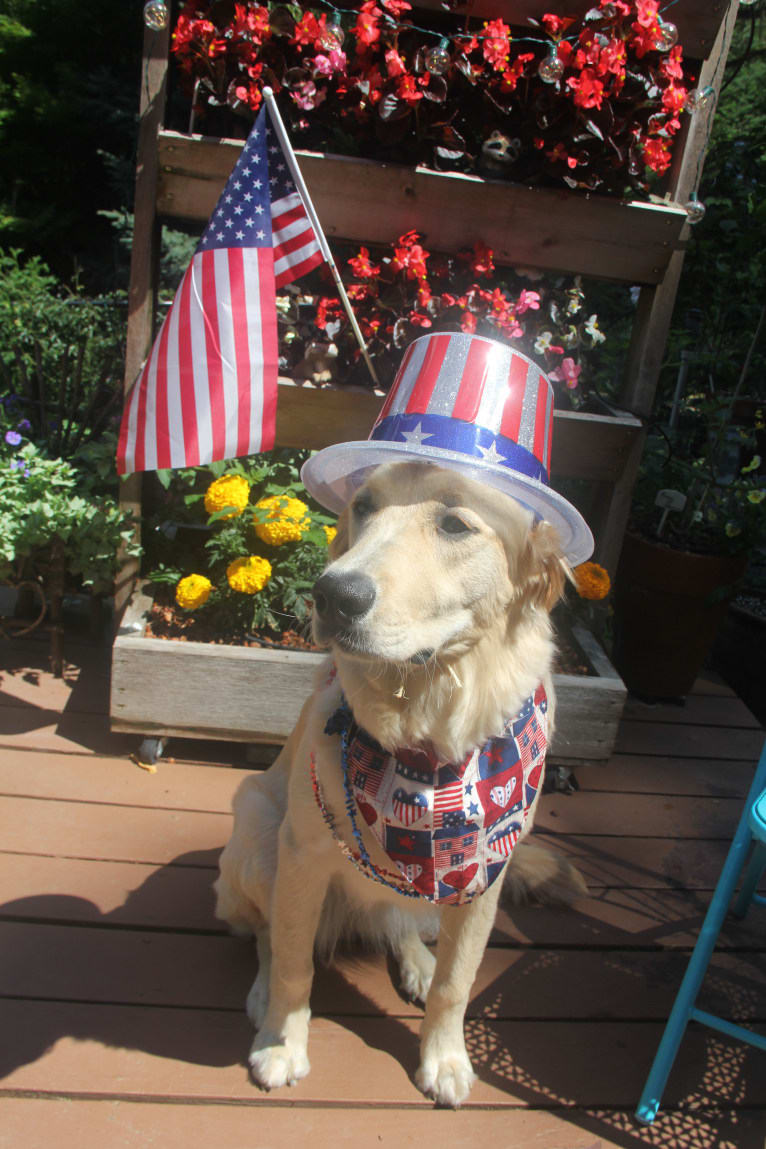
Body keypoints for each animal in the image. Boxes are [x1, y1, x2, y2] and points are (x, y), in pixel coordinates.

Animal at [215, 461, 587, 1107]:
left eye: (455, 524)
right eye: (363, 506)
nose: (333, 595)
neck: (427, 729)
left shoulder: (484, 875)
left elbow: (456, 984)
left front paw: (445, 1058)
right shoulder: (302, 856)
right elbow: (292, 962)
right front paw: (282, 1043)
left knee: (404, 924)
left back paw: (415, 962)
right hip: (257, 832)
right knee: (265, 932)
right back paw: (264, 995)